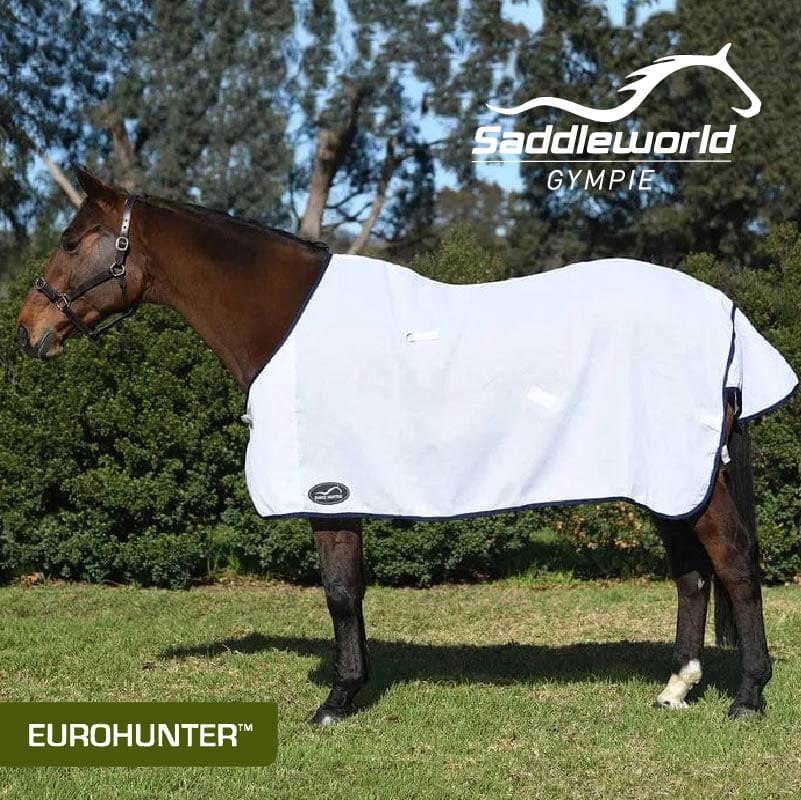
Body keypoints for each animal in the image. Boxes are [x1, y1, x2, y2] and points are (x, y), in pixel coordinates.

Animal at [16, 167, 787, 725]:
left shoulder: (328, 490)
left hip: (690, 479)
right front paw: (352, 689)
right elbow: (350, 591)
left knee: (734, 563)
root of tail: (725, 312)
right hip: (666, 478)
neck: (286, 324)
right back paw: (677, 688)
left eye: (74, 238)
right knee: (692, 574)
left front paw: (337, 701)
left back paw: (748, 698)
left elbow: (337, 592)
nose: (28, 329)